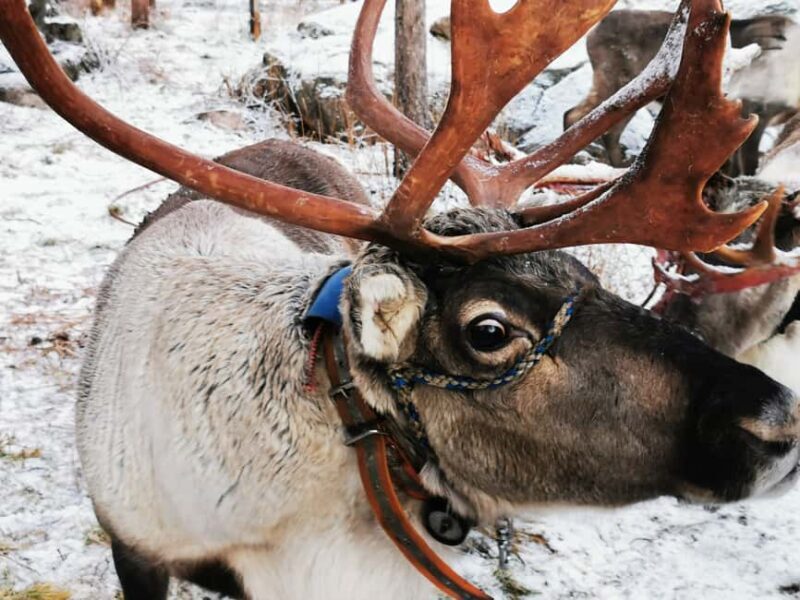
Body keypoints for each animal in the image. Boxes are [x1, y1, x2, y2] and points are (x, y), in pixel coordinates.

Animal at [563, 9, 798, 173]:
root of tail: (592, 32)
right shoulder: (755, 110)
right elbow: (747, 167)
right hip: (617, 83)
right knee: (574, 115)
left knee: (608, 132)